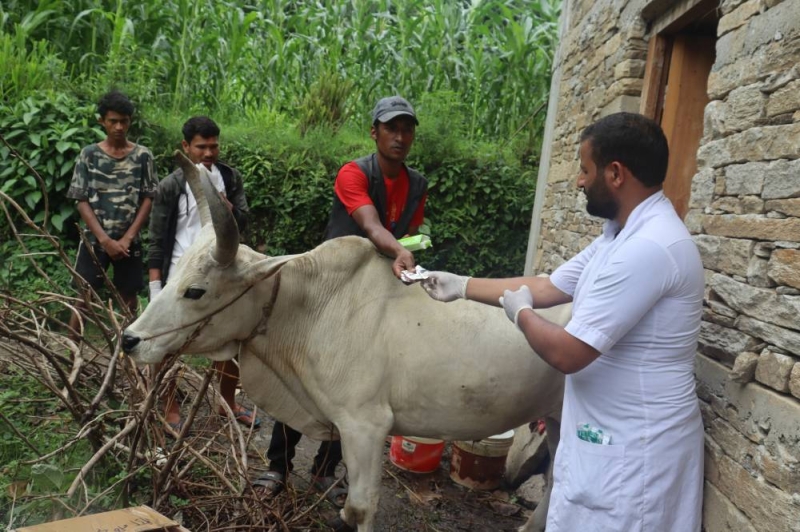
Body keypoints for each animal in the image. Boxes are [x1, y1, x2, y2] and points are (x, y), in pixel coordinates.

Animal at [125, 152, 568, 528]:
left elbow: (360, 506)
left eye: (195, 291)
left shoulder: (366, 426)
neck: (309, 307)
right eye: (174, 274)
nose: (130, 339)